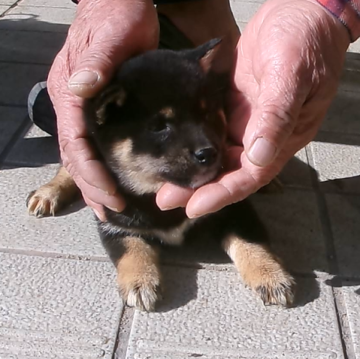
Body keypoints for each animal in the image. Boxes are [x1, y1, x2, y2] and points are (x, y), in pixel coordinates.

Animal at [26, 39, 294, 312]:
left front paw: (271, 276)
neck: (153, 193)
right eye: (159, 127)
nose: (208, 152)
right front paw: (140, 280)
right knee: (67, 167)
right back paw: (49, 193)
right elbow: (132, 250)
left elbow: (252, 242)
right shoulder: (113, 220)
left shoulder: (234, 207)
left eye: (207, 114)